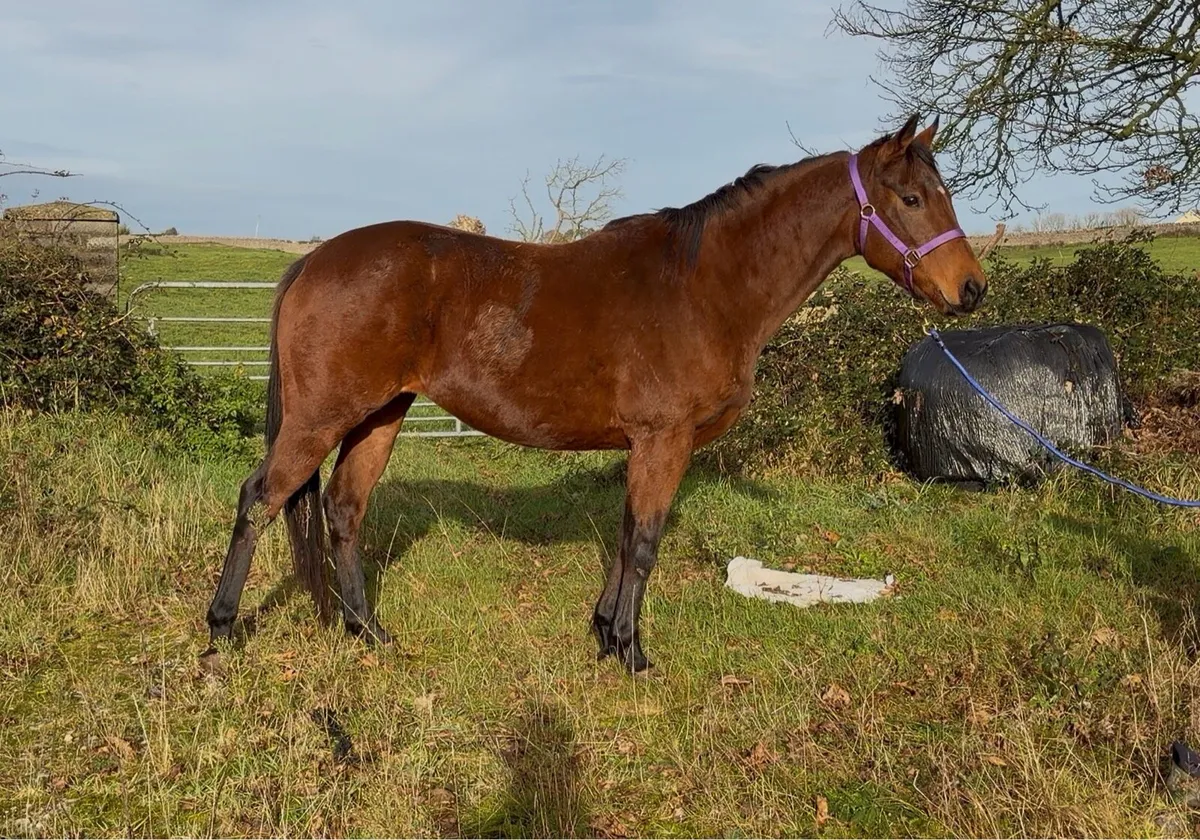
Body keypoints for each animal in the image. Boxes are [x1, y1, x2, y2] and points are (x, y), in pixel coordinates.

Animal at [204, 113, 987, 674]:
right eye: (911, 198)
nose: (971, 289)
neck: (704, 286)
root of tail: (313, 262)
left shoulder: (645, 445)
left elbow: (624, 536)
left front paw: (607, 634)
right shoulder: (664, 439)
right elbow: (643, 544)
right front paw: (633, 653)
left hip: (381, 415)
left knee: (342, 509)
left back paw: (369, 632)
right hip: (321, 416)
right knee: (260, 499)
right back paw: (220, 633)